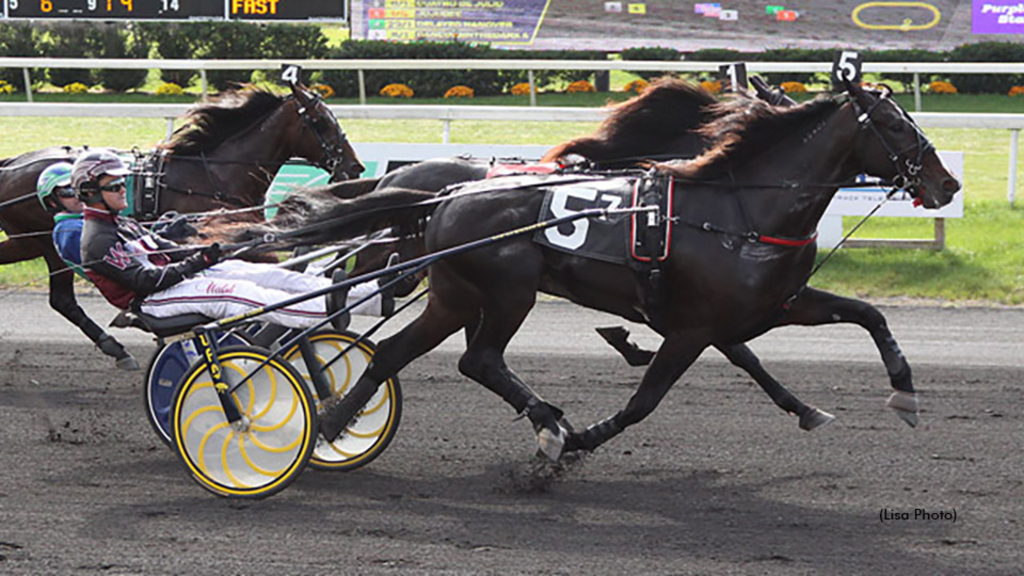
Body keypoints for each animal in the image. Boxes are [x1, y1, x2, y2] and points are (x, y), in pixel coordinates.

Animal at [0, 81, 364, 366]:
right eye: (321, 122)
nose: (355, 167)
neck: (213, 174)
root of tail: (11, 165)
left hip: (33, 242)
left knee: (57, 296)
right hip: (42, 242)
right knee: (62, 299)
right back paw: (116, 346)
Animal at [232, 78, 958, 461]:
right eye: (896, 125)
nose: (946, 182)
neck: (739, 208)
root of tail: (447, 194)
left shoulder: (772, 306)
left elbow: (865, 315)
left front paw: (890, 395)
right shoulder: (693, 327)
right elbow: (644, 401)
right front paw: (583, 437)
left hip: (456, 294)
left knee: (397, 353)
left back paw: (332, 425)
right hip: (504, 291)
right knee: (474, 357)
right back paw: (549, 425)